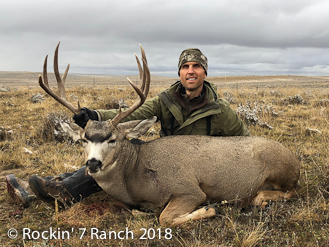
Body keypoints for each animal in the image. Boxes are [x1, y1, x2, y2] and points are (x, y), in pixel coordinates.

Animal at [38, 43, 300, 226]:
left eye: (113, 139)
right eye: (84, 139)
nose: (93, 163)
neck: (136, 172)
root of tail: (295, 159)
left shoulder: (190, 190)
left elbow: (164, 217)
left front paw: (210, 208)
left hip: (280, 173)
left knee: (287, 192)